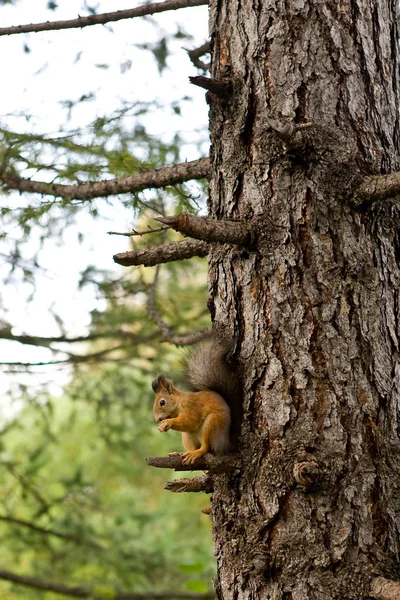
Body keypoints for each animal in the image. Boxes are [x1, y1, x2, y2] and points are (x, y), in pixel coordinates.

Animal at [152, 336, 241, 466]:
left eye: (162, 402)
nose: (157, 419)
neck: (180, 403)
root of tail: (225, 443)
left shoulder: (191, 405)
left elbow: (190, 421)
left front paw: (167, 422)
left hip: (212, 424)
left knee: (205, 447)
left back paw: (197, 452)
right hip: (187, 436)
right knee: (192, 446)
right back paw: (181, 453)